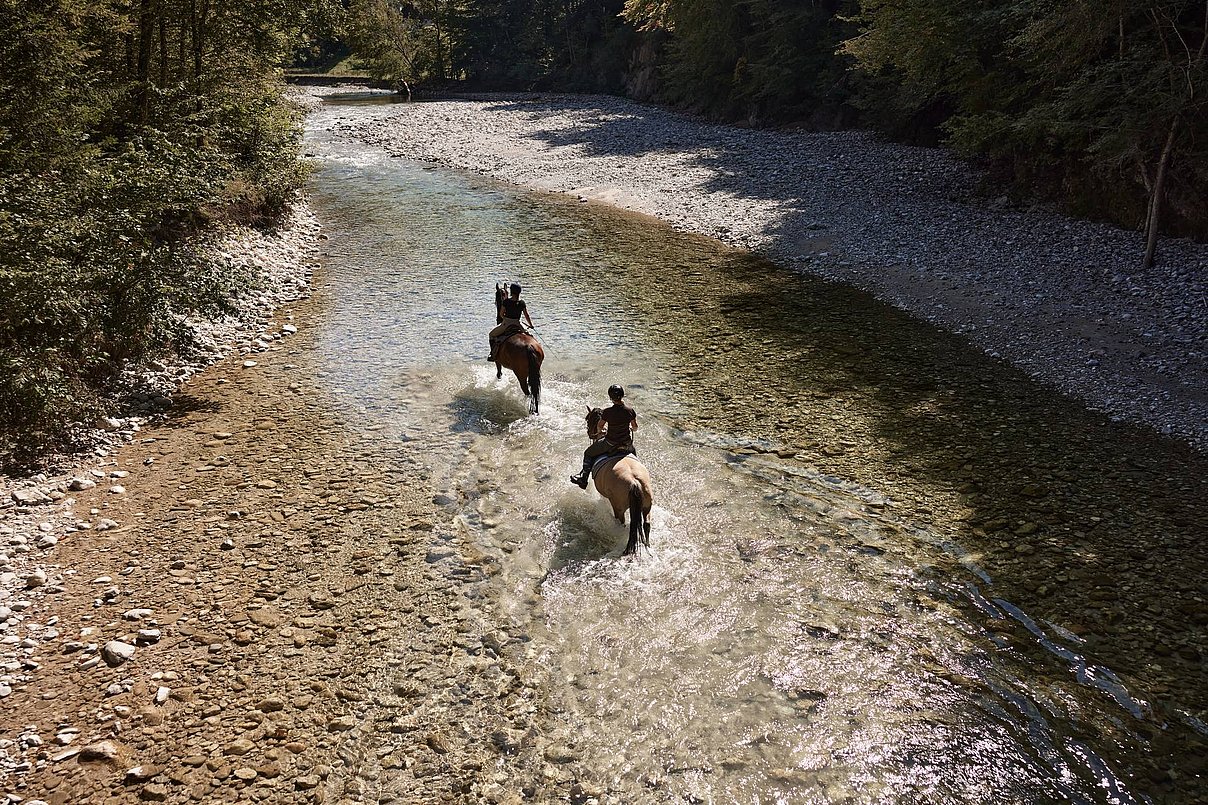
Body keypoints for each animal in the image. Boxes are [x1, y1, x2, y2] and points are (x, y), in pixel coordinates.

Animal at [582, 408, 652, 551]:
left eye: (588, 418)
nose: (589, 433)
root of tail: (634, 482)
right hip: (647, 506)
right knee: (646, 525)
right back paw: (647, 545)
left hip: (619, 508)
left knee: (622, 524)